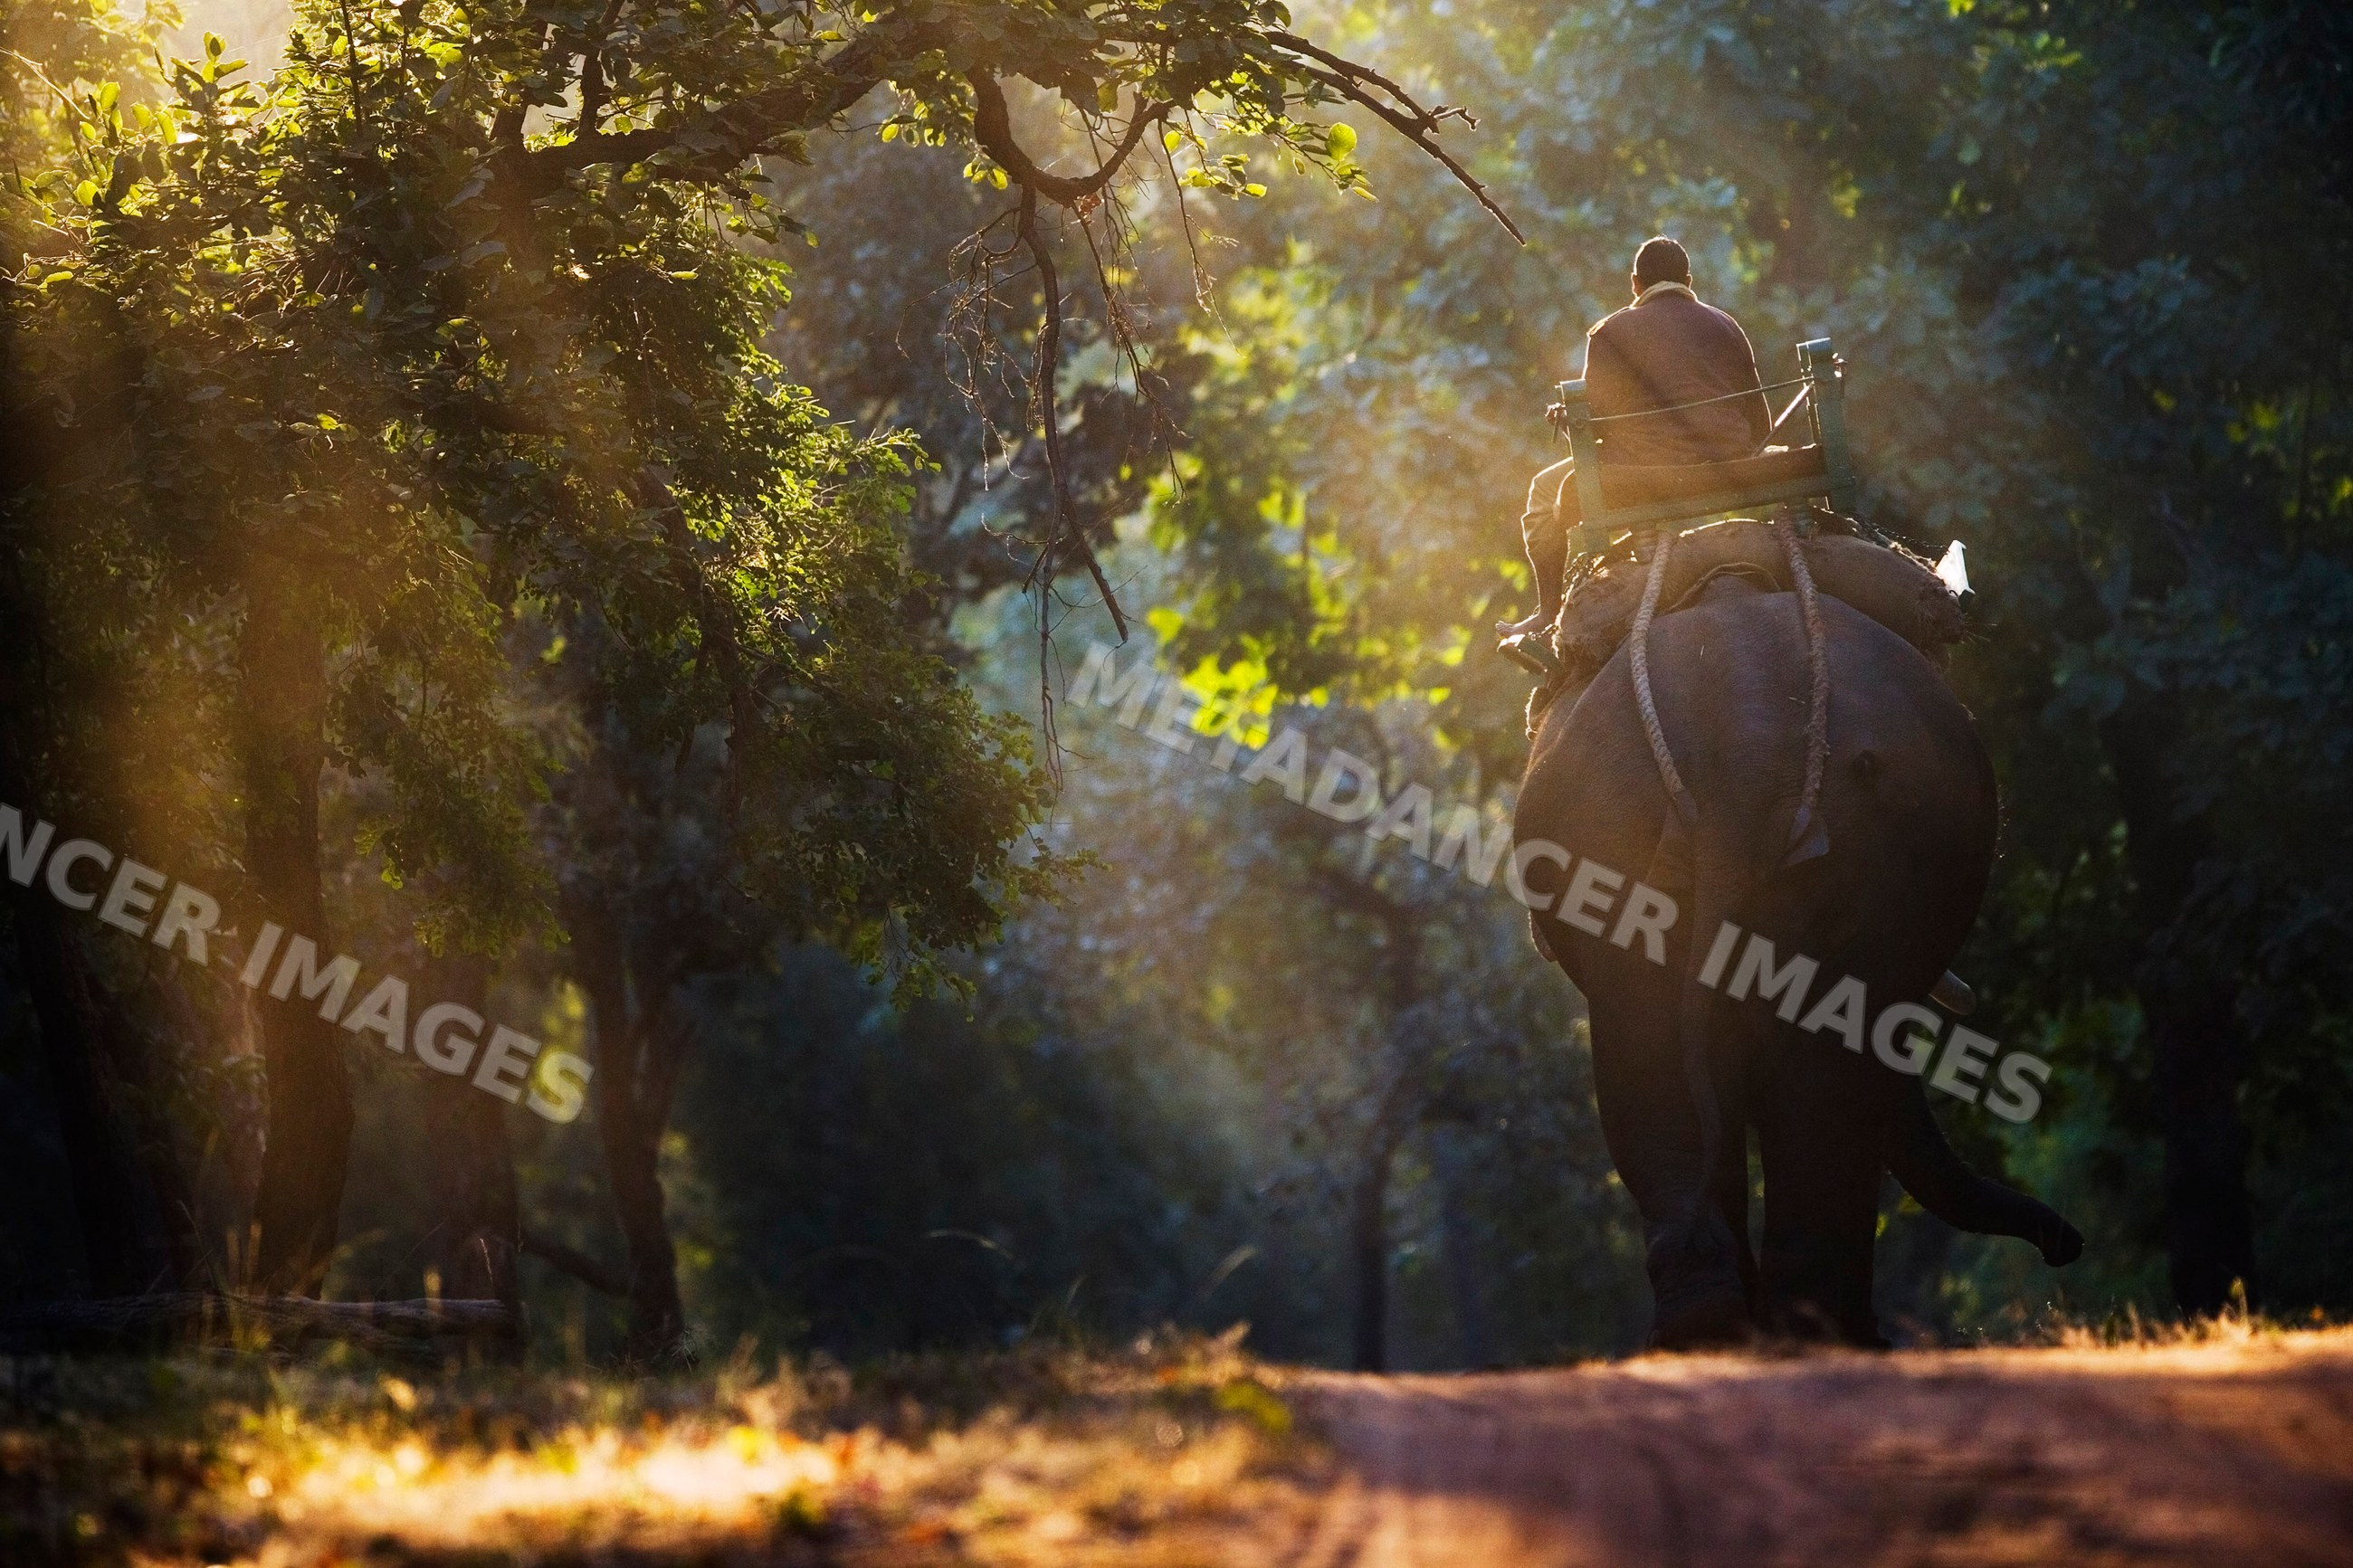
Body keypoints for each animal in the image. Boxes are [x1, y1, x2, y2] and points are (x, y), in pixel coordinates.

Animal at [1512, 571, 2083, 1348]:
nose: (2067, 1245)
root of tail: (1743, 744)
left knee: (1654, 1051)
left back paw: (1730, 1332)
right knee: (1788, 1071)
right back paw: (1796, 1334)